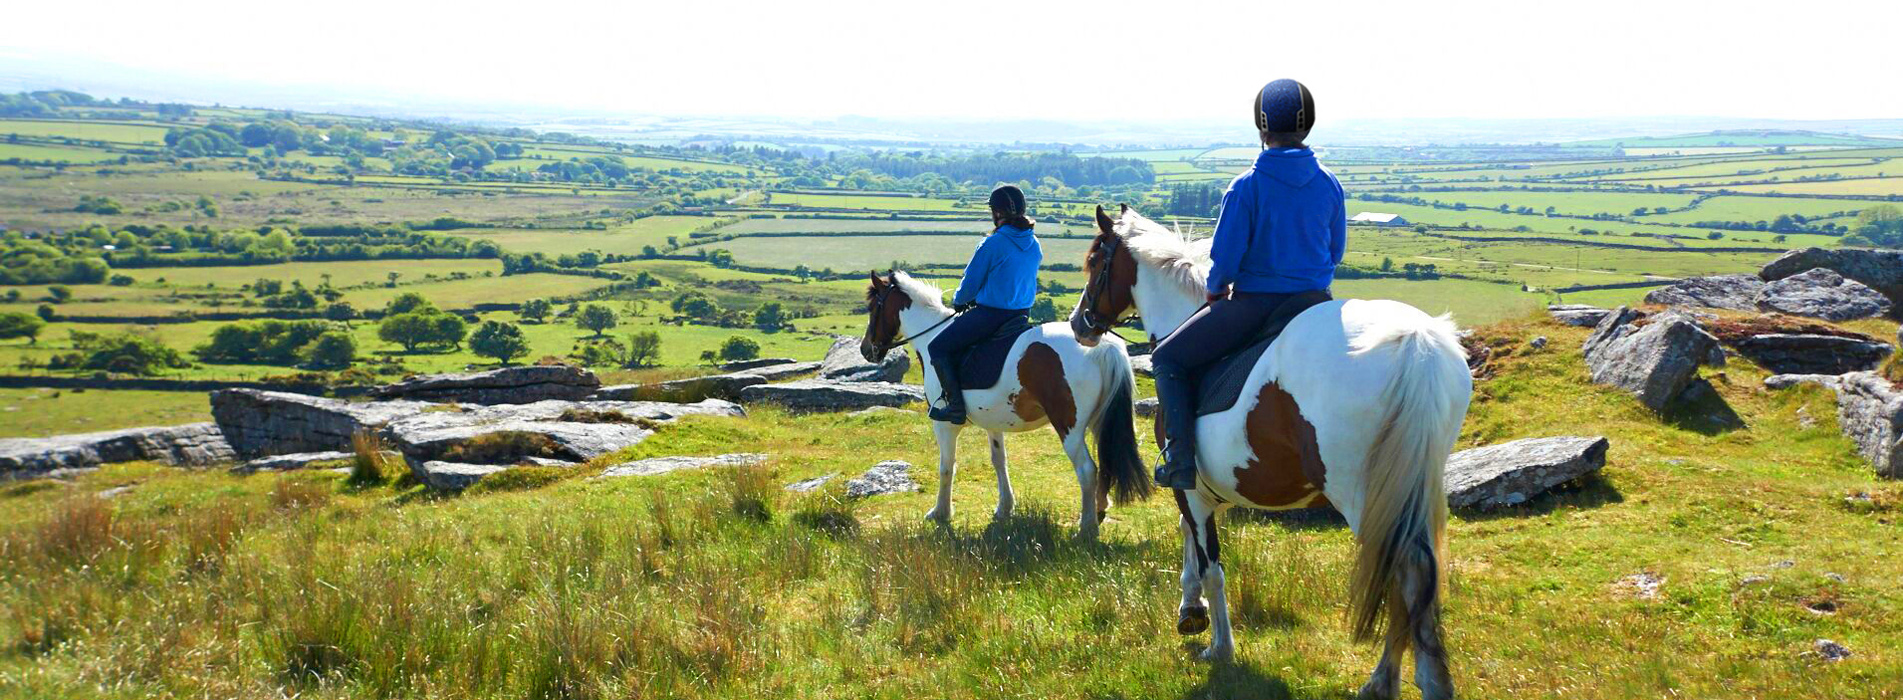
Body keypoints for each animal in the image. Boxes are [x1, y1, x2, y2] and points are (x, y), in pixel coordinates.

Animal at [860, 270, 1149, 540]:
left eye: (874, 307)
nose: (866, 350)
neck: (932, 334)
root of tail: (1103, 346)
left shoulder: (944, 425)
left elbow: (946, 467)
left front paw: (940, 512)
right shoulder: (993, 423)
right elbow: (999, 461)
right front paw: (1005, 508)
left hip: (1069, 427)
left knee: (1087, 470)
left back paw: (1086, 528)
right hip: (1099, 421)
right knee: (1105, 464)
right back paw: (1099, 510)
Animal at [1073, 206, 1469, 700]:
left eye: (1094, 261)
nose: (1079, 323)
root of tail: (1414, 341)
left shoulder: (1190, 485)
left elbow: (1212, 566)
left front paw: (1219, 646)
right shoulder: (1213, 487)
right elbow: (1189, 538)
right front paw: (1190, 610)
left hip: (1366, 496)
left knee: (1404, 571)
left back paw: (1401, 681)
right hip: (1409, 489)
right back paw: (1392, 680)